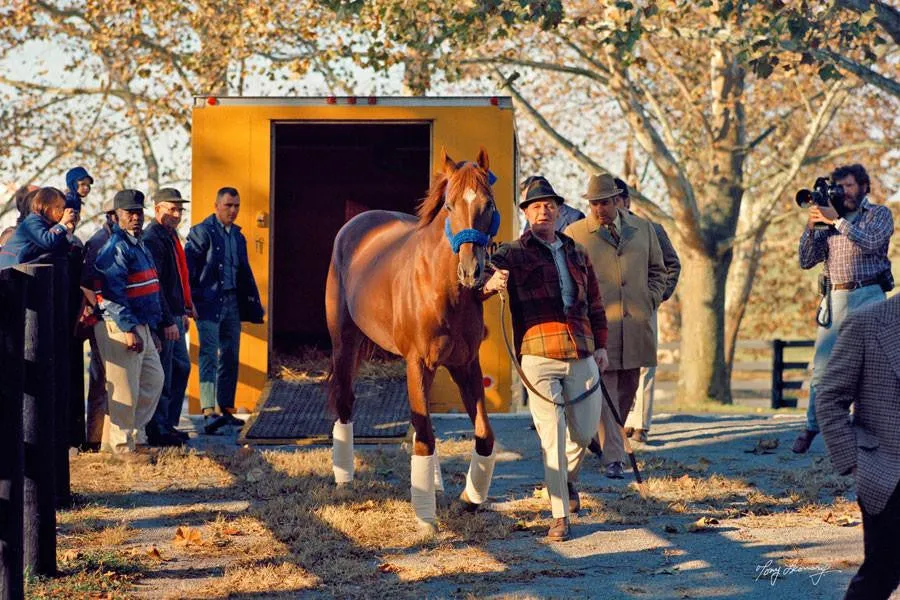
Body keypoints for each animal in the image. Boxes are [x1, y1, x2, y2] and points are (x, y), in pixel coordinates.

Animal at [326, 148, 502, 532]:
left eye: (488, 204)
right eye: (449, 205)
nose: (472, 272)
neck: (443, 288)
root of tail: (358, 223)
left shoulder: (465, 364)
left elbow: (483, 436)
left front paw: (470, 499)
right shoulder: (418, 362)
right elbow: (424, 437)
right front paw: (426, 518)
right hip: (344, 342)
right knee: (345, 402)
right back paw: (344, 479)